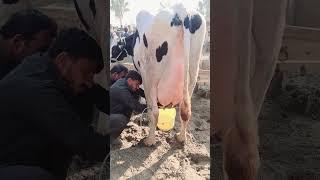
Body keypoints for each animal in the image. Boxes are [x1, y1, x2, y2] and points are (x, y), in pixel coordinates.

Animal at [110, 3, 205, 146]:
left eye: (114, 48)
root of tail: (181, 10)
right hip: (193, 72)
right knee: (185, 111)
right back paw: (181, 138)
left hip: (151, 76)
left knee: (154, 111)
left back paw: (149, 140)